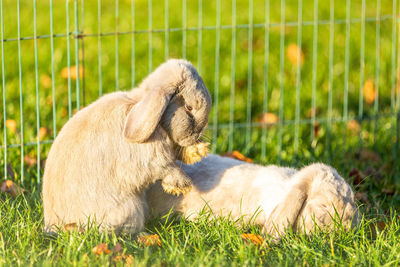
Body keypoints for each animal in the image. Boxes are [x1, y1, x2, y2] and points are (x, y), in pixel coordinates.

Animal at [41, 59, 212, 234]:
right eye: (189, 108)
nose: (197, 135)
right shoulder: (152, 159)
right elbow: (167, 167)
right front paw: (182, 185)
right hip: (131, 208)